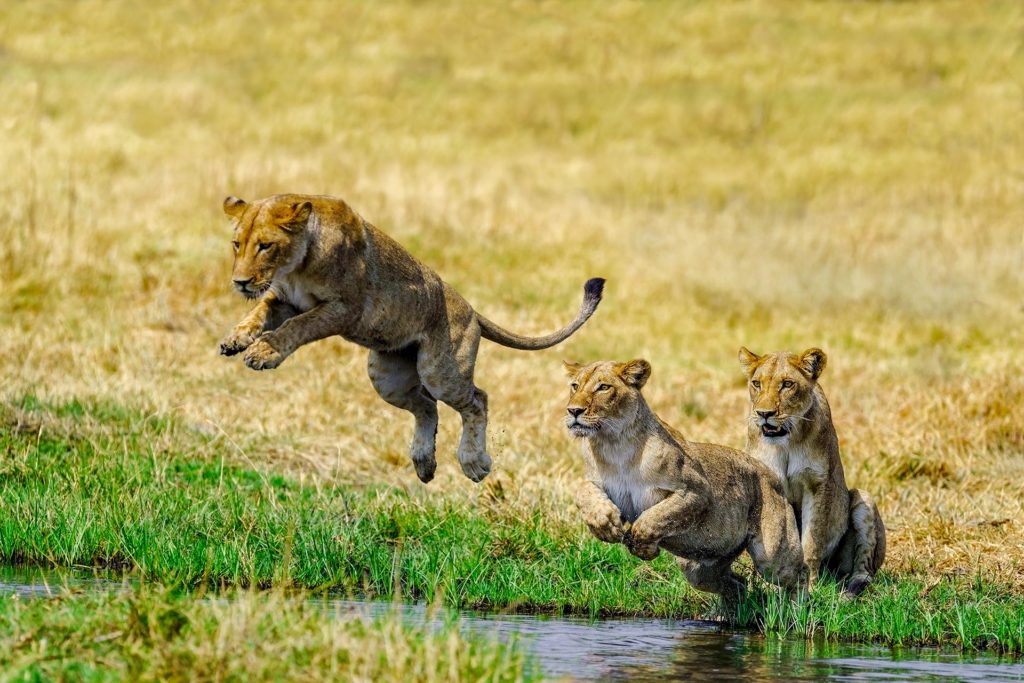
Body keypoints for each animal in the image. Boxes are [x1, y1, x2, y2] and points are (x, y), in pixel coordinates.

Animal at [216, 192, 598, 483]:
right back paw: (424, 463)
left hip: (440, 371)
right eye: (237, 245)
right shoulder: (283, 299)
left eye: (266, 246)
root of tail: (472, 309)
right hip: (387, 377)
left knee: (477, 400)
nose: (240, 282)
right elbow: (258, 313)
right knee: (427, 407)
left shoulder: (342, 308)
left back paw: (474, 462)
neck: (295, 266)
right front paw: (236, 339)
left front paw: (263, 353)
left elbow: (295, 327)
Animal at [565, 360, 802, 606]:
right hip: (698, 566)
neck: (613, 445)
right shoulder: (602, 485)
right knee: (736, 583)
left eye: (603, 387)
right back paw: (729, 612)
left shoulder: (695, 491)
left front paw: (642, 546)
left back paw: (796, 609)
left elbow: (657, 517)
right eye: (575, 386)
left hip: (772, 553)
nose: (573, 410)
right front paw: (605, 525)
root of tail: (771, 474)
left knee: (796, 576)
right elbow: (583, 490)